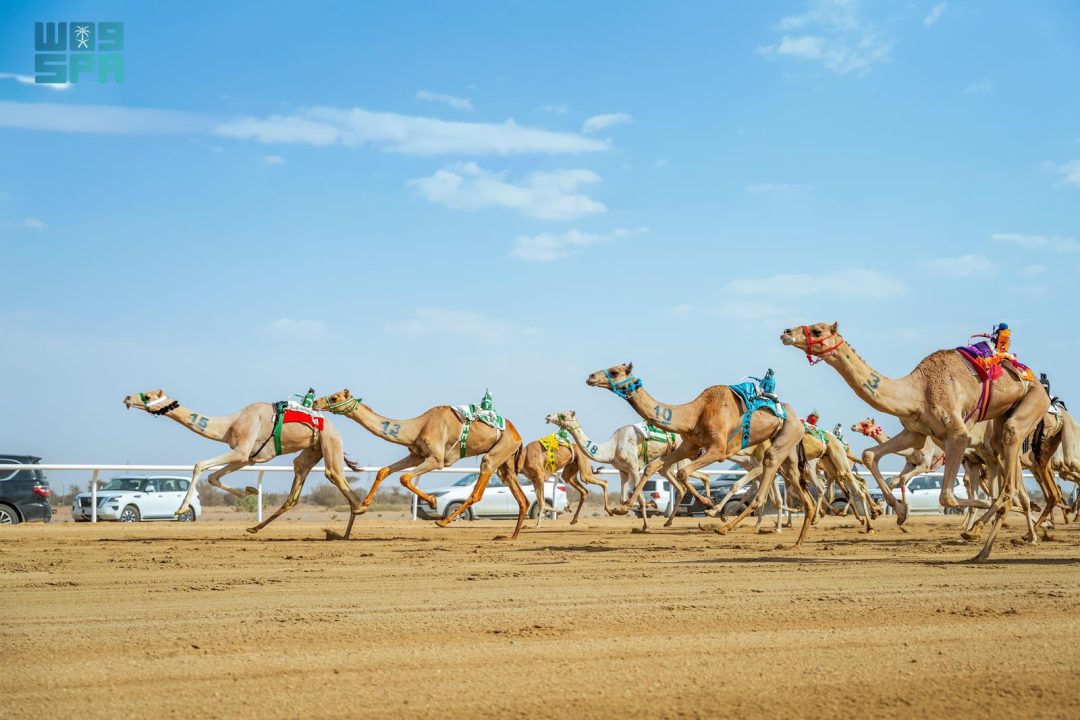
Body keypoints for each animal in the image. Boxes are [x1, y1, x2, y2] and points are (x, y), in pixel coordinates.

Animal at [122, 389, 365, 537]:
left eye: (148, 395)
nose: (127, 398)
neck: (229, 425)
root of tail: (334, 428)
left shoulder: (241, 451)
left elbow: (200, 465)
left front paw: (181, 509)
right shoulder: (248, 457)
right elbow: (213, 476)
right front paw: (250, 491)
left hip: (330, 443)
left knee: (338, 479)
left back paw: (350, 525)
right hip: (311, 451)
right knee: (296, 486)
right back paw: (255, 528)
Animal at [312, 389, 528, 537]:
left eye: (334, 397)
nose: (315, 402)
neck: (417, 426)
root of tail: (517, 434)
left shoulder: (436, 459)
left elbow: (404, 477)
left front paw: (432, 501)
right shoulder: (416, 455)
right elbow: (383, 471)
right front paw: (361, 507)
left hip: (497, 453)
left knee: (479, 486)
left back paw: (444, 522)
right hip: (506, 461)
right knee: (522, 498)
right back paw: (512, 536)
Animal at [544, 411, 709, 531]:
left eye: (563, 415)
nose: (548, 416)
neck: (612, 448)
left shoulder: (634, 468)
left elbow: (640, 497)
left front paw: (645, 525)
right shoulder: (623, 471)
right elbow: (623, 498)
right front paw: (620, 509)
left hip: (682, 449)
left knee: (684, 475)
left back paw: (707, 504)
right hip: (667, 458)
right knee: (678, 484)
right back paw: (669, 521)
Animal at [584, 364, 818, 547]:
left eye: (614, 371)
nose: (591, 377)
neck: (696, 413)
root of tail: (798, 420)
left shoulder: (718, 449)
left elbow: (684, 473)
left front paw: (708, 503)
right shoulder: (689, 446)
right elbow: (653, 467)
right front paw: (622, 508)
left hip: (785, 436)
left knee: (767, 473)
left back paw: (723, 527)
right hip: (789, 451)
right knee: (798, 485)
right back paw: (798, 541)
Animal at [781, 322, 1050, 561]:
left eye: (817, 330)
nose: (786, 332)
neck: (917, 392)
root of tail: (1036, 381)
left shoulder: (957, 435)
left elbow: (947, 496)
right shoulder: (916, 433)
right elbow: (870, 454)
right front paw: (899, 512)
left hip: (1030, 406)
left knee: (1009, 482)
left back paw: (989, 537)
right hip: (999, 430)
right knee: (1007, 485)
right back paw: (983, 544)